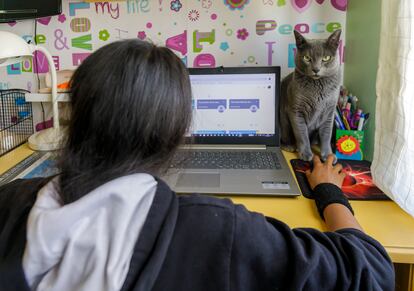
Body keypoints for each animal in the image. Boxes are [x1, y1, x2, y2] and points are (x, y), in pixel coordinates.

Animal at [280, 30, 342, 162]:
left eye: (326, 58)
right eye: (307, 58)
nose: (316, 69)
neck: (318, 87)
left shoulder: (329, 112)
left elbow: (326, 135)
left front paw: (328, 155)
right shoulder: (296, 110)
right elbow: (301, 134)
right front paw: (306, 153)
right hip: (283, 121)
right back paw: (289, 146)